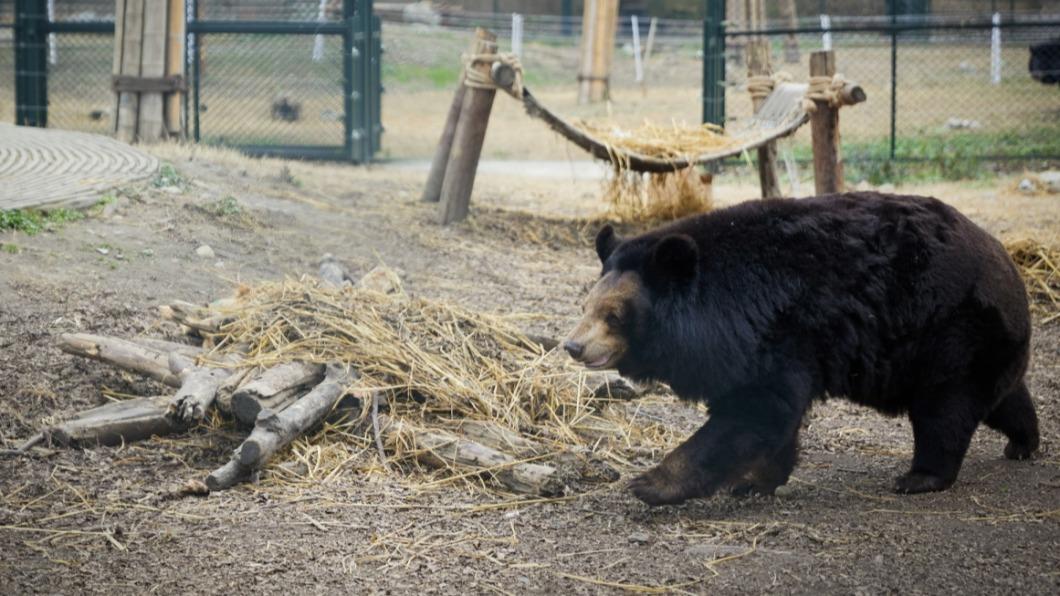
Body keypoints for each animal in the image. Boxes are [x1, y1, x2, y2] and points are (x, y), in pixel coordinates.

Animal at [563, 191, 1040, 506]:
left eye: (613, 315)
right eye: (585, 306)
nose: (573, 346)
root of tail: (1007, 264)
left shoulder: (779, 333)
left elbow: (755, 411)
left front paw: (651, 483)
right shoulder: (748, 349)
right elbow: (770, 418)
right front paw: (754, 482)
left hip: (950, 331)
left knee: (945, 410)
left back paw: (920, 476)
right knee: (1001, 396)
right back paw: (1024, 442)